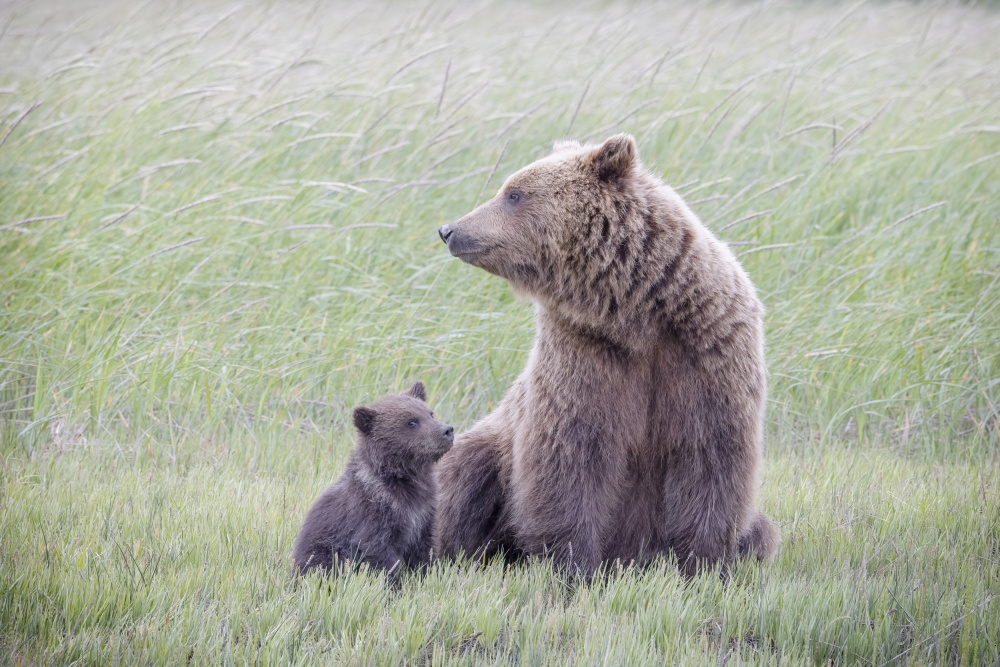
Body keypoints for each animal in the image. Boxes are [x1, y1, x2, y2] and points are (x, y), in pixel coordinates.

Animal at [434, 133, 776, 576]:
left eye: (513, 193)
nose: (449, 229)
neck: (637, 315)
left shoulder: (705, 351)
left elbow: (709, 459)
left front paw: (702, 564)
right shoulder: (585, 353)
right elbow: (571, 457)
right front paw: (571, 564)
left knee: (761, 530)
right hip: (491, 443)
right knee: (465, 476)